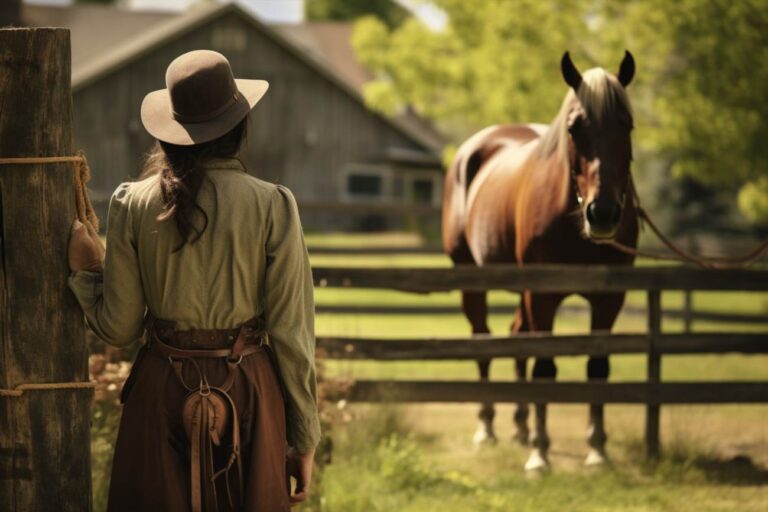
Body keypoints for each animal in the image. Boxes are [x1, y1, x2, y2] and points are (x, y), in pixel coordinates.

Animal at [440, 50, 640, 470]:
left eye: (626, 124)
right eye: (574, 128)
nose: (603, 214)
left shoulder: (609, 299)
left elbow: (597, 368)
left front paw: (597, 450)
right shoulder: (543, 293)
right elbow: (545, 368)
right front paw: (540, 454)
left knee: (518, 337)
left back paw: (521, 425)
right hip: (472, 278)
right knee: (483, 341)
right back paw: (488, 428)